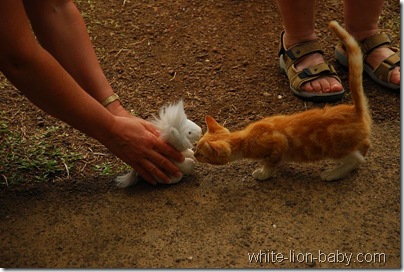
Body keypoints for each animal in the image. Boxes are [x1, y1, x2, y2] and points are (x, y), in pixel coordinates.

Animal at [196, 21, 372, 182]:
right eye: (196, 146)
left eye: (202, 154)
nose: (195, 154)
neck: (244, 138)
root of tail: (355, 110)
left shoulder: (278, 144)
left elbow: (271, 163)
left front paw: (263, 173)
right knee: (365, 146)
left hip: (334, 149)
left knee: (357, 159)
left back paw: (333, 174)